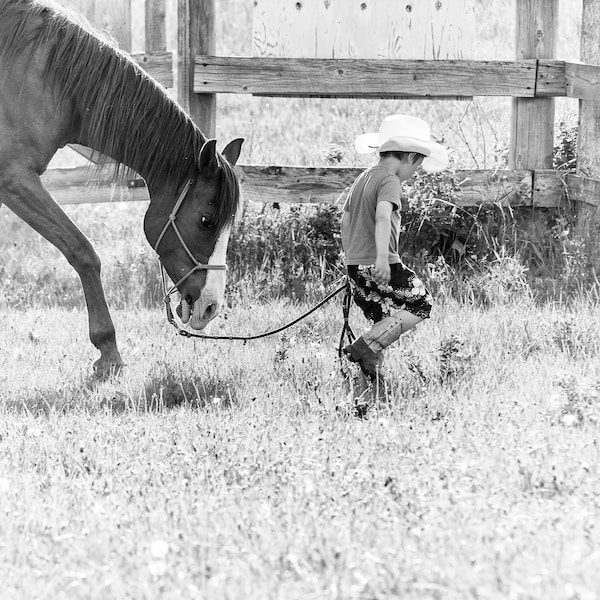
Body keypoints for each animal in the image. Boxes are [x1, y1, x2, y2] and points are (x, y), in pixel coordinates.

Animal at [0, 0, 244, 376]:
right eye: (206, 221)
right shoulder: (15, 180)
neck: (41, 75)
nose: (211, 306)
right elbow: (82, 250)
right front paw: (108, 348)